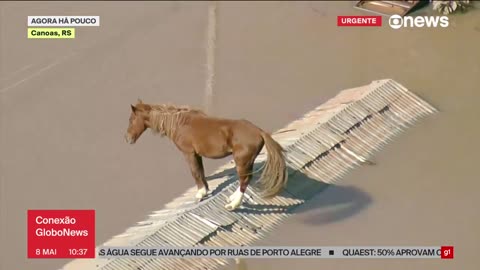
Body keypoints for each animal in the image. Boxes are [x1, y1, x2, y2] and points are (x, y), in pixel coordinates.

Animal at [125, 99, 286, 211]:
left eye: (131, 120)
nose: (127, 139)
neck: (179, 124)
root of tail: (260, 132)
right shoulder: (197, 155)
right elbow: (200, 171)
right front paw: (205, 190)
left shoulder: (188, 153)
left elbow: (195, 172)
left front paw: (200, 194)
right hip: (247, 161)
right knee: (246, 179)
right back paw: (232, 198)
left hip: (242, 161)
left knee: (244, 180)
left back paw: (233, 205)